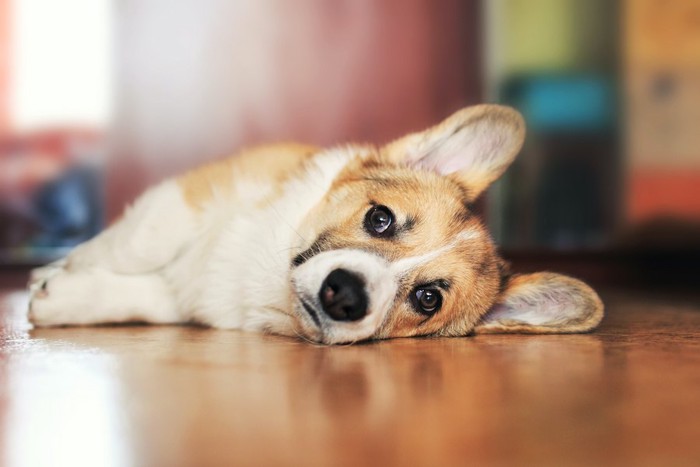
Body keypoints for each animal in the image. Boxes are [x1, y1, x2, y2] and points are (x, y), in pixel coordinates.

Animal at [27, 107, 604, 348]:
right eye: (379, 218)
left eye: (428, 300)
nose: (344, 295)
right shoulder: (189, 198)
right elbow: (133, 248)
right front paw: (56, 271)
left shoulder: (194, 297)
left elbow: (147, 298)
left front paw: (62, 298)